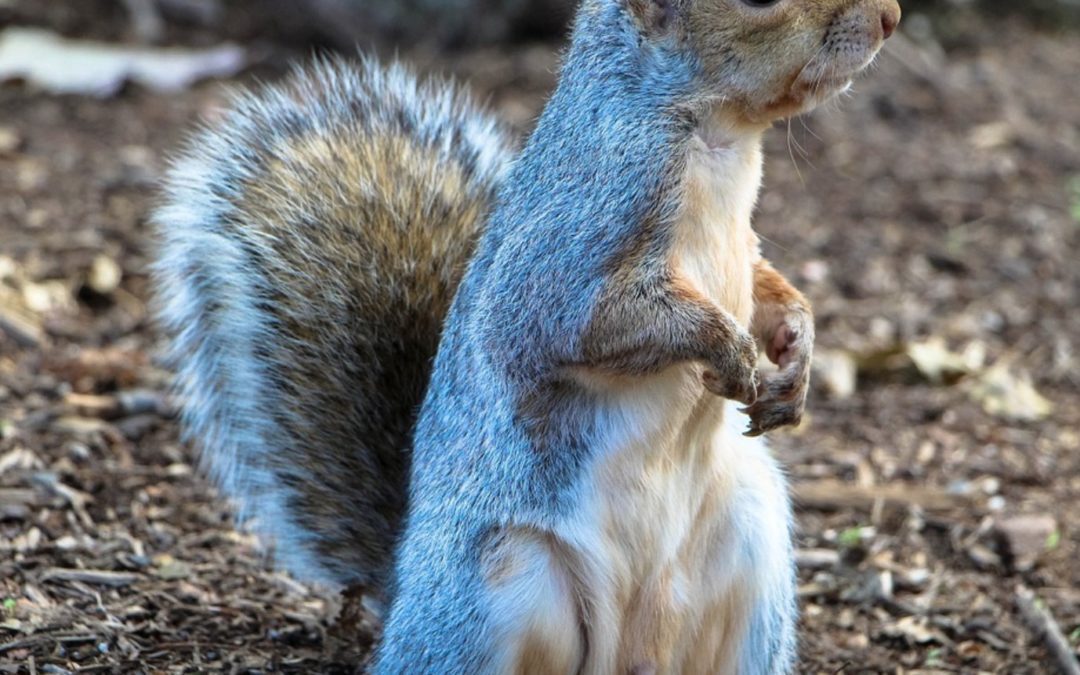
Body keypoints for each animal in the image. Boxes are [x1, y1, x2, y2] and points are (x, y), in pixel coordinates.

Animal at [150, 0, 894, 669]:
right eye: (758, 3)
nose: (889, 16)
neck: (720, 138)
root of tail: (403, 588)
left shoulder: (742, 243)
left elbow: (769, 285)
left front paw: (796, 348)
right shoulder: (583, 227)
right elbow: (576, 321)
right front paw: (731, 349)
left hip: (750, 554)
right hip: (504, 589)